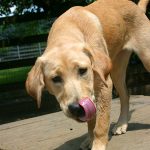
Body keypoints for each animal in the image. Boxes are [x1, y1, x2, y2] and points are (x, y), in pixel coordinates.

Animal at [25, 0, 150, 149]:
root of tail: (137, 7)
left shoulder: (103, 85)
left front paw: (98, 145)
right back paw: (121, 124)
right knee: (125, 94)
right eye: (55, 78)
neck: (67, 29)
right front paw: (90, 140)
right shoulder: (92, 94)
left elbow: (100, 124)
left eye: (83, 70)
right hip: (116, 69)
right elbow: (91, 122)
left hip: (146, 57)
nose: (76, 108)